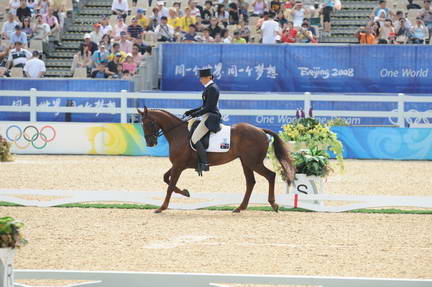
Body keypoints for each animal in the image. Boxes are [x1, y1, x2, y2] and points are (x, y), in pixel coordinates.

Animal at [138, 107, 296, 214]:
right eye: (142, 124)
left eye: (149, 123)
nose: (150, 143)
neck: (179, 133)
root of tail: (261, 130)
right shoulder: (179, 164)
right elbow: (166, 178)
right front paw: (185, 192)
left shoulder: (179, 165)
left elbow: (170, 185)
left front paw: (161, 207)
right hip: (245, 162)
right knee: (251, 182)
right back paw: (240, 208)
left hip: (254, 162)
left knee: (271, 176)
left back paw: (273, 205)